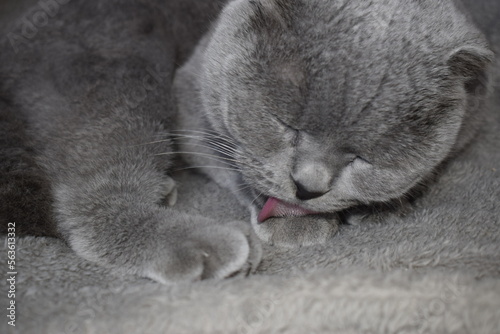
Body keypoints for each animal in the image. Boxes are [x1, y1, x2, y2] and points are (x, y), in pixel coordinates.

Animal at [0, 0, 492, 284]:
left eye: (361, 158)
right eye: (286, 125)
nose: (308, 187)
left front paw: (384, 206)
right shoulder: (189, 99)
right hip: (117, 65)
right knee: (87, 196)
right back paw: (203, 242)